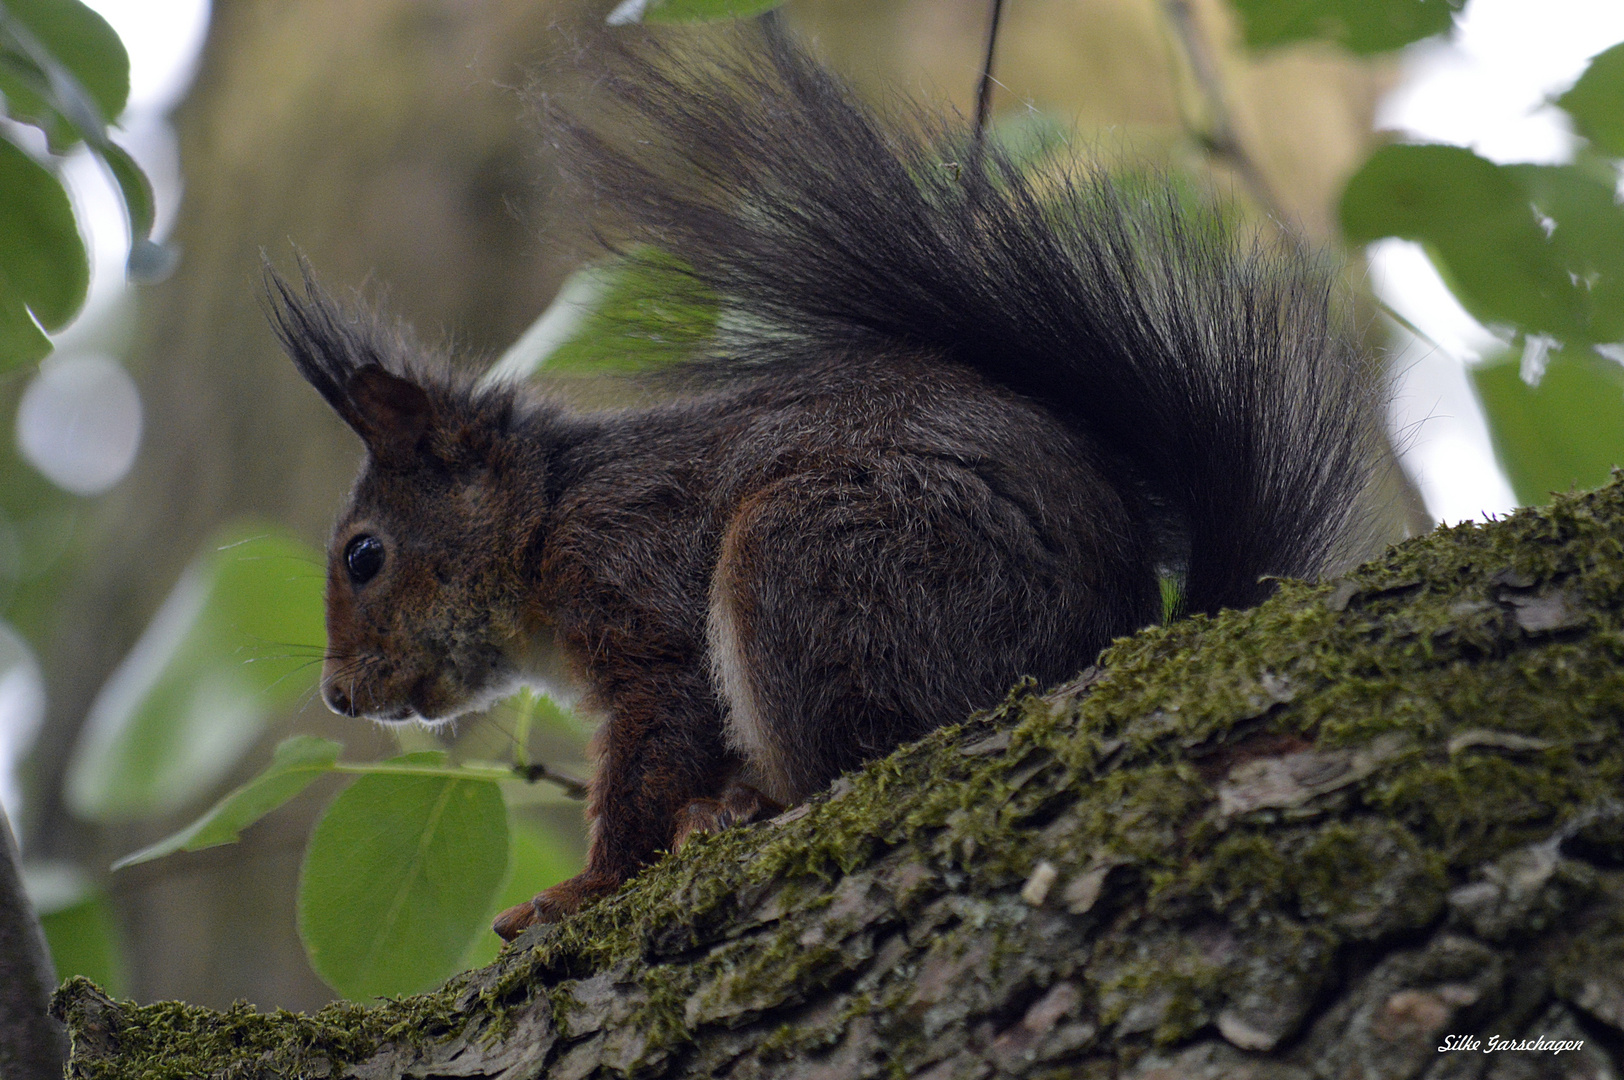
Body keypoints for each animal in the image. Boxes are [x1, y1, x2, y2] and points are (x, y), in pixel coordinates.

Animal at [266, 23, 1383, 935]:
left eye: (364, 556)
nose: (338, 697)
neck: (545, 521)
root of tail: (1123, 625)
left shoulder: (636, 586)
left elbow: (650, 756)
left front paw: (577, 893)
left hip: (816, 560)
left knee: (840, 760)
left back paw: (745, 805)